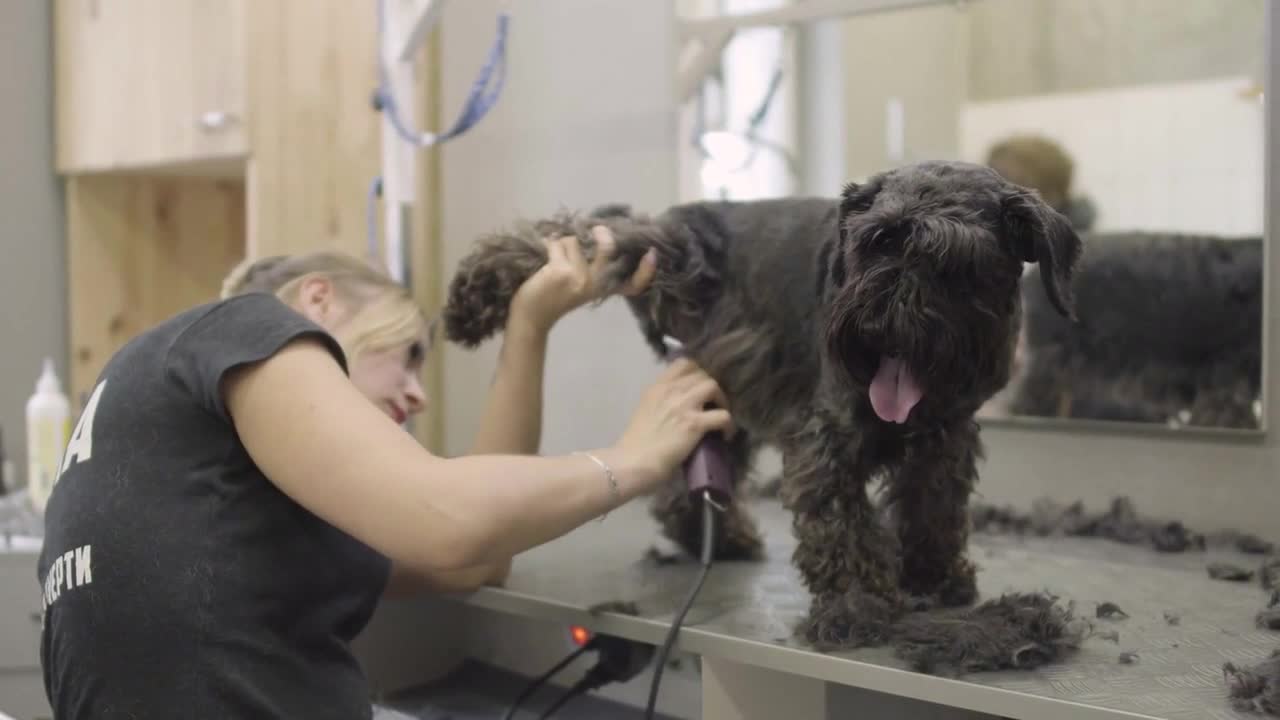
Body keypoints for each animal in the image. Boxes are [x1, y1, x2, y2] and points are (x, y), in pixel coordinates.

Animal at [442, 161, 1090, 666]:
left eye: (957, 262)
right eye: (876, 241)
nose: (877, 322)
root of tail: (684, 212)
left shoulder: (947, 433)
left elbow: (935, 506)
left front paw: (935, 580)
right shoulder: (830, 436)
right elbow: (842, 522)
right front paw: (857, 606)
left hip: (721, 385)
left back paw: (721, 538)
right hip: (659, 264)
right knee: (567, 235)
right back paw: (471, 296)